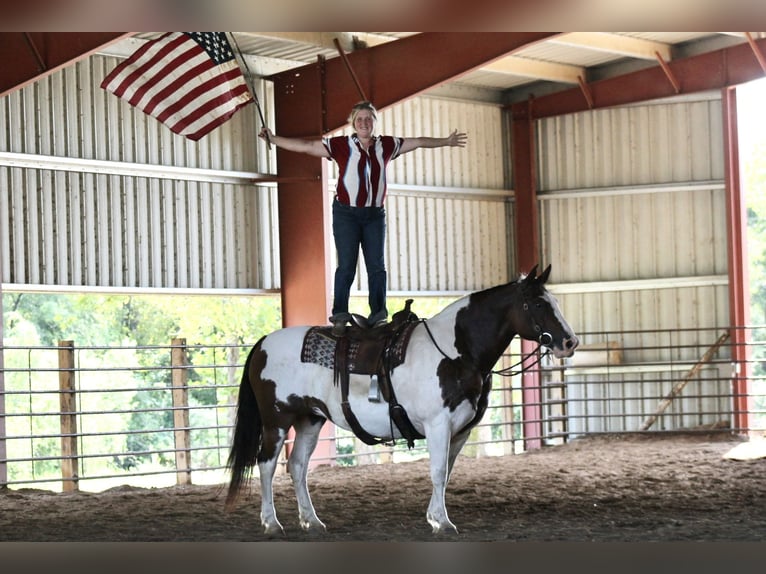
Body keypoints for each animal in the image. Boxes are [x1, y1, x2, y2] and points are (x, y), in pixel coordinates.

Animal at [225, 266, 580, 536]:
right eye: (538, 304)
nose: (570, 342)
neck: (456, 351)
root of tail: (263, 343)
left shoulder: (461, 430)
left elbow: (446, 473)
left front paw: (434, 516)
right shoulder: (438, 424)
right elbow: (437, 470)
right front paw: (443, 522)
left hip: (310, 419)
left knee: (298, 466)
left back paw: (312, 521)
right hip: (277, 420)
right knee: (267, 464)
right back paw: (271, 523)